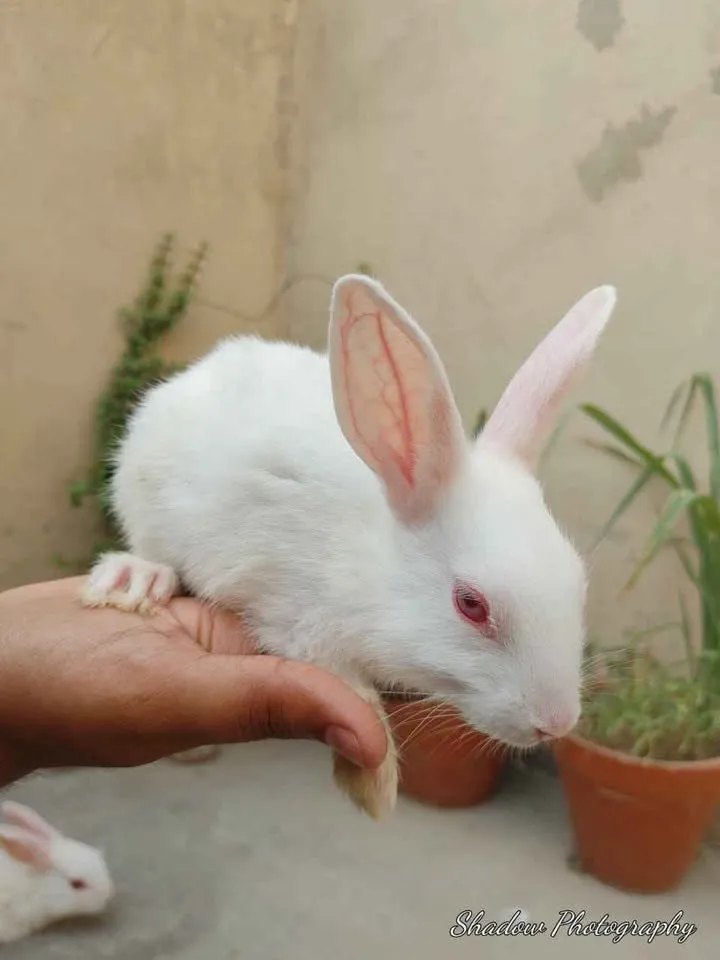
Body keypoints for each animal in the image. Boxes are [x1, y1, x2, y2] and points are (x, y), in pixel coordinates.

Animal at [81, 273, 617, 819]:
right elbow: (351, 690)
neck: (371, 562)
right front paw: (376, 786)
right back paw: (135, 579)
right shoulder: (300, 621)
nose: (557, 722)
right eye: (470, 604)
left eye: (579, 584)